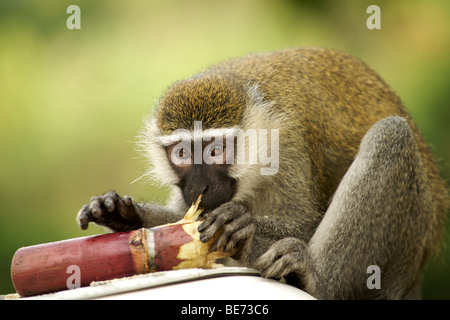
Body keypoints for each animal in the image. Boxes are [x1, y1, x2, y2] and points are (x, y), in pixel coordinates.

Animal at [75, 47, 448, 300]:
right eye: (182, 153)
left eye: (216, 150)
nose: (201, 185)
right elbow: (183, 228)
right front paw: (124, 214)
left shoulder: (288, 143)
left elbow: (304, 224)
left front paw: (242, 227)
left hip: (406, 247)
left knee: (392, 135)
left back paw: (315, 278)